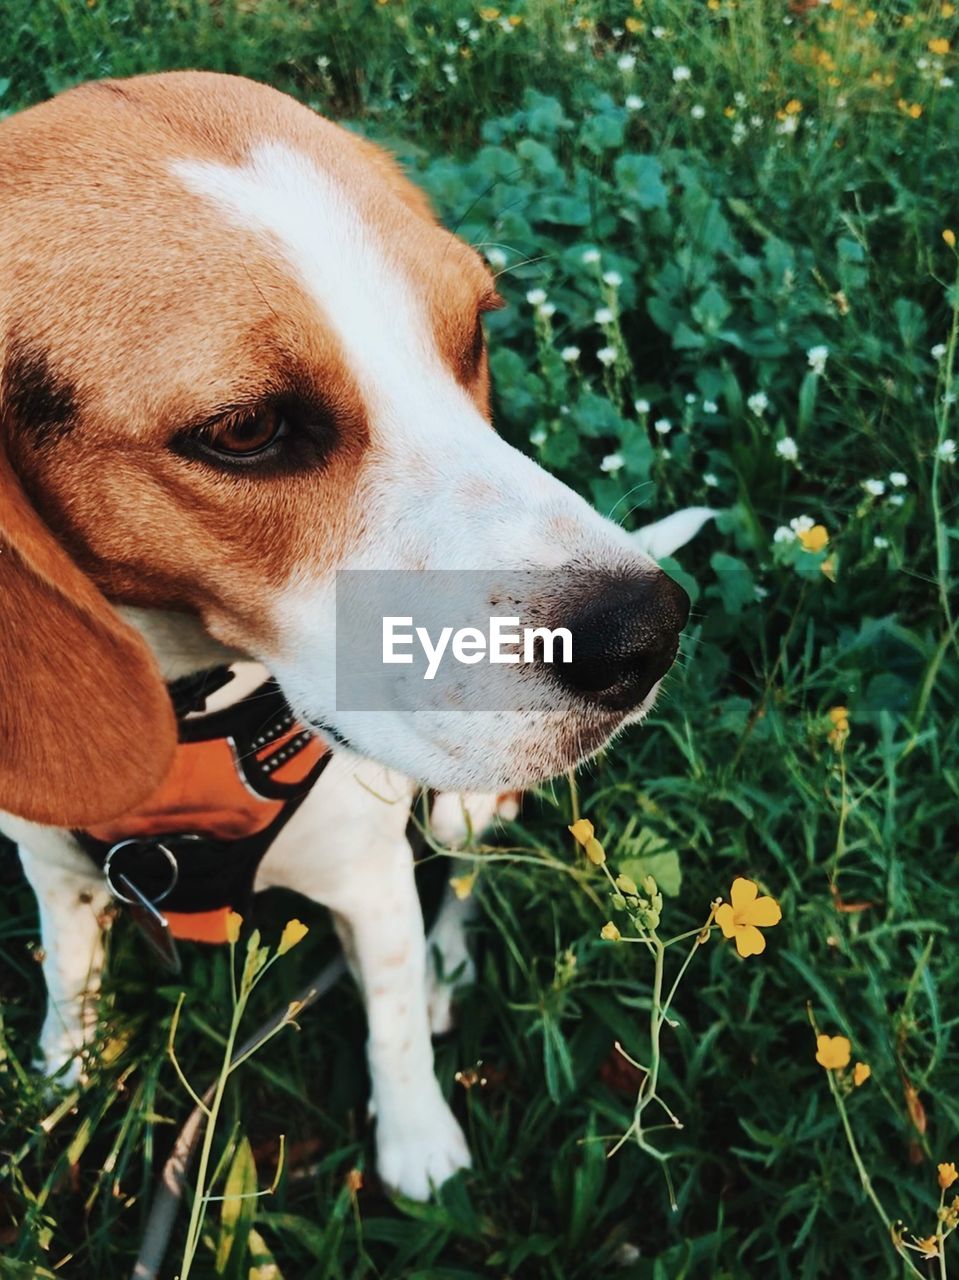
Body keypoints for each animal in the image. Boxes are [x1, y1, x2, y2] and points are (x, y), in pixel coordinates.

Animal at [0, 77, 691, 1198]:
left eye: (474, 333)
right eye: (243, 430)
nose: (647, 633)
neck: (195, 719)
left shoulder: (369, 879)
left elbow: (395, 1017)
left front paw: (417, 1141)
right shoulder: (50, 866)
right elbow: (71, 973)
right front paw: (61, 1075)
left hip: (452, 815)